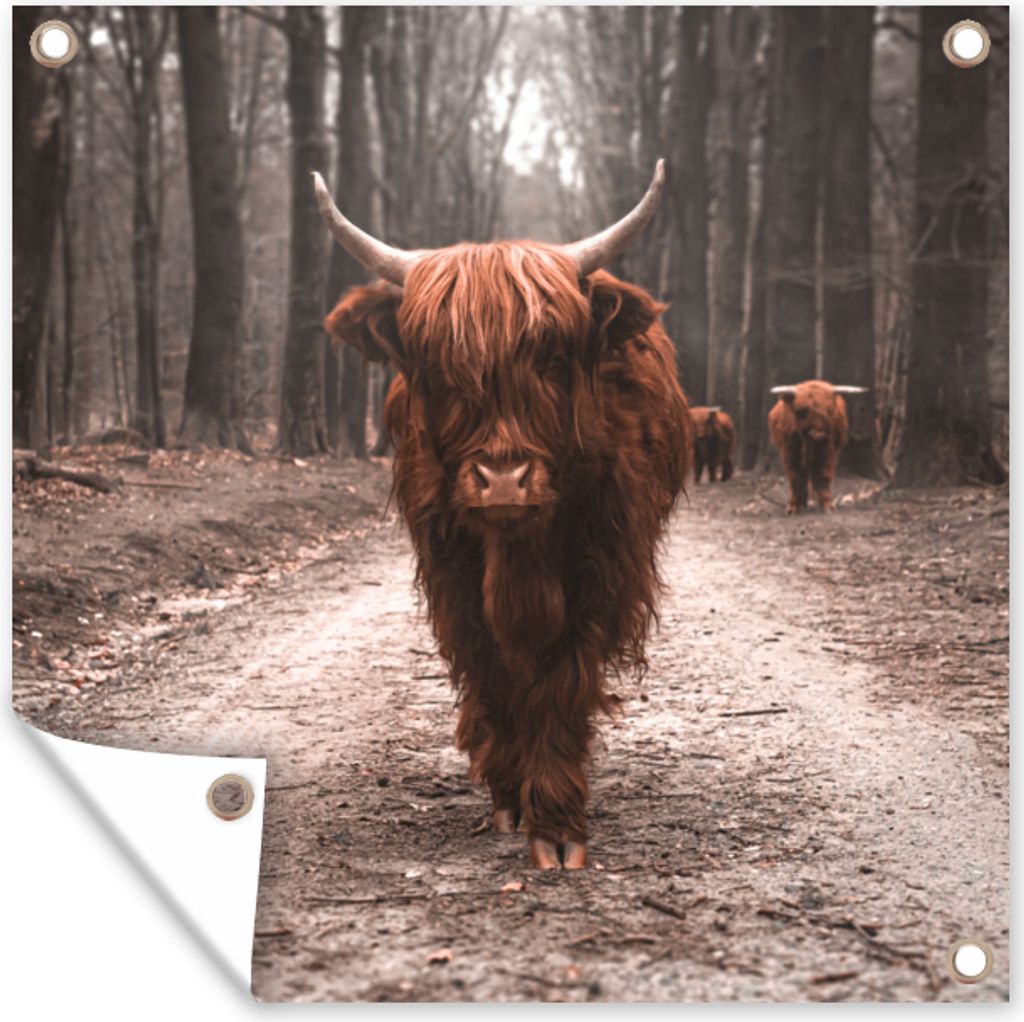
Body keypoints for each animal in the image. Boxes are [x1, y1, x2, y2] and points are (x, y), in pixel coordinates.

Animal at [316, 162, 692, 869]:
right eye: (439, 367)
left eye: (551, 358)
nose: (503, 482)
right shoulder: (452, 574)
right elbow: (492, 669)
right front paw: (511, 795)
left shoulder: (601, 567)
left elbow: (562, 676)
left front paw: (557, 822)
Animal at [767, 380, 867, 514]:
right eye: (801, 411)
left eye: (829, 410)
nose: (819, 433)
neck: (808, 443)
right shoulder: (789, 452)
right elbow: (796, 478)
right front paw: (794, 507)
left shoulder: (827, 452)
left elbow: (822, 477)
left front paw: (827, 505)